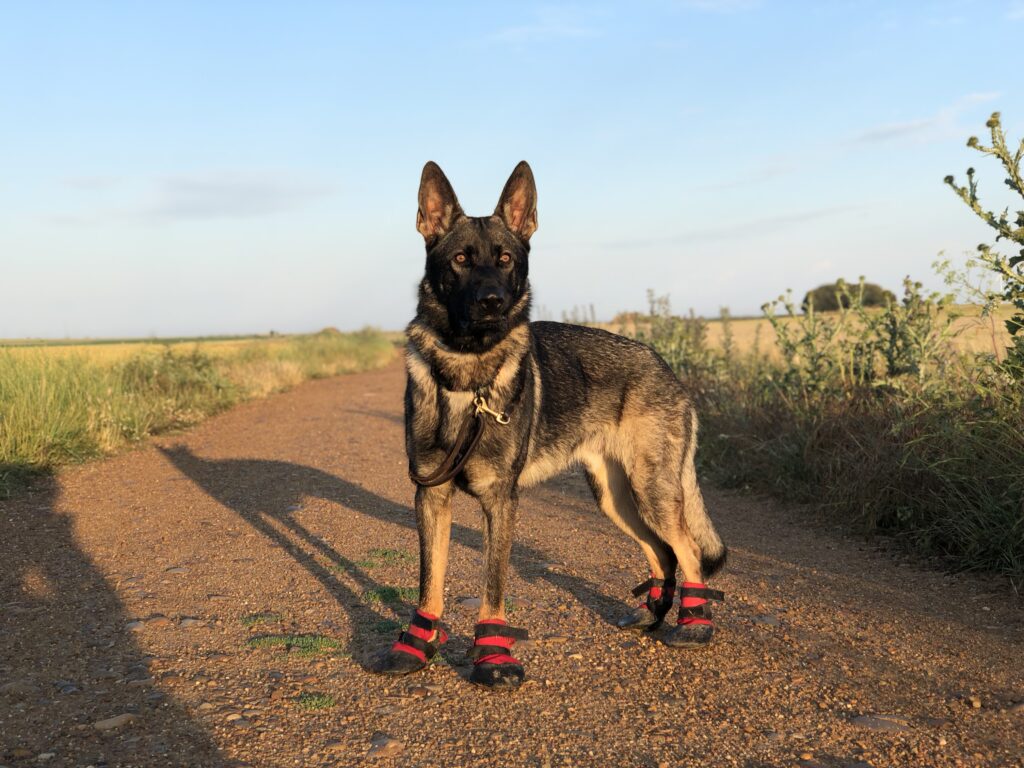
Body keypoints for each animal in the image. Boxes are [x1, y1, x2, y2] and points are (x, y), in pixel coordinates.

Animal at [378, 162, 729, 692]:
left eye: (505, 260)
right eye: (460, 259)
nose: (493, 302)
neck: (469, 371)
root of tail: (665, 365)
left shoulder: (500, 502)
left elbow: (493, 584)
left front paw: (492, 656)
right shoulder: (431, 496)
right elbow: (429, 580)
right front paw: (418, 643)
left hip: (651, 490)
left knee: (686, 549)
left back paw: (695, 623)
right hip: (614, 497)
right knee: (662, 553)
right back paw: (654, 613)